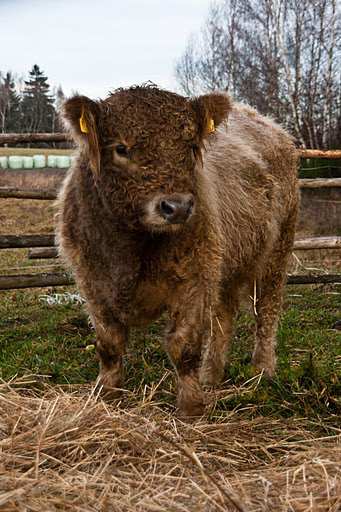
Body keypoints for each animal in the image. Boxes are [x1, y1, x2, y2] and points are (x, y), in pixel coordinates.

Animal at [56, 85, 298, 416]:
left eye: (191, 146)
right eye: (121, 148)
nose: (178, 207)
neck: (132, 249)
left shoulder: (194, 278)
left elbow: (183, 346)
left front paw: (191, 408)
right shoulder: (91, 280)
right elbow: (109, 344)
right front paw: (106, 396)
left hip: (276, 252)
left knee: (267, 312)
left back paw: (262, 371)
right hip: (226, 263)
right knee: (224, 316)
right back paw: (211, 374)